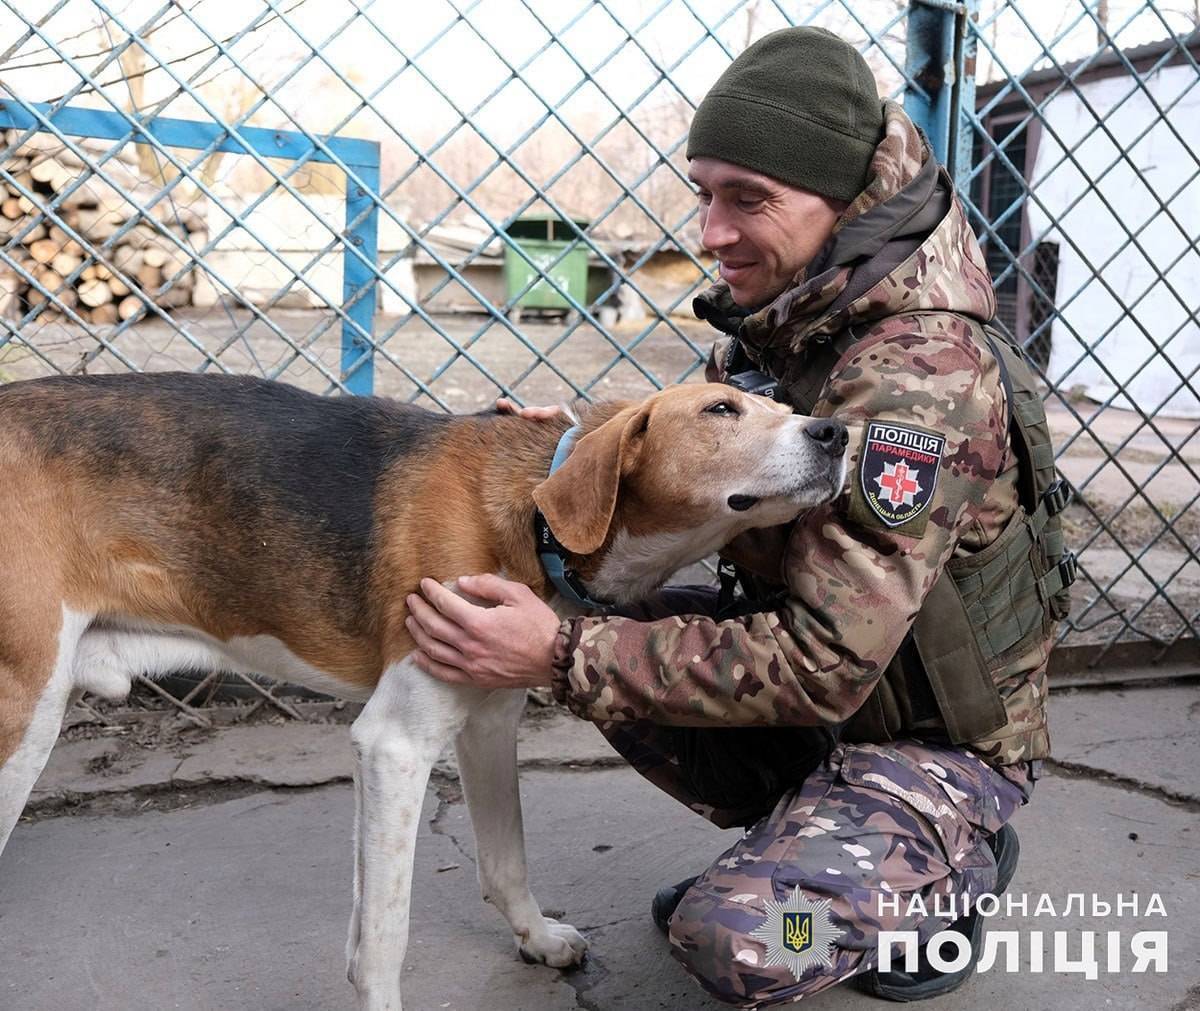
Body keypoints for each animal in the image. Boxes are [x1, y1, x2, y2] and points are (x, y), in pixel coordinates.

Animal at [0, 372, 844, 1008]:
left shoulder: (489, 720)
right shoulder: (394, 744)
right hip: (22, 720)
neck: (536, 512)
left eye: (780, 403)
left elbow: (504, 860)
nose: (836, 431)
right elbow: (386, 933)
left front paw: (537, 938)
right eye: (720, 410)